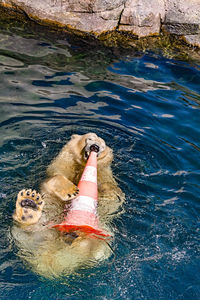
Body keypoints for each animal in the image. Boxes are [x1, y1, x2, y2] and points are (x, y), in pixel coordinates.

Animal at [11, 132, 124, 278]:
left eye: (103, 146)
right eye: (90, 138)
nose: (95, 147)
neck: (81, 166)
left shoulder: (104, 175)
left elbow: (113, 197)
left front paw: (107, 191)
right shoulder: (61, 165)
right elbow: (54, 178)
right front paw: (71, 190)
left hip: (104, 239)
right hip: (37, 230)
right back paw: (28, 208)